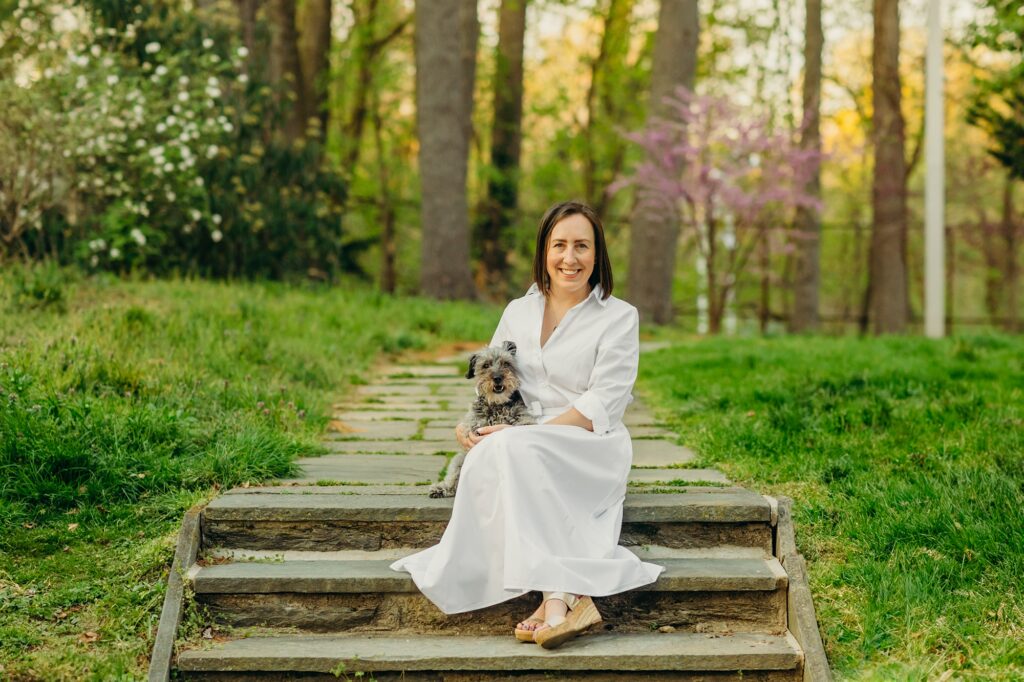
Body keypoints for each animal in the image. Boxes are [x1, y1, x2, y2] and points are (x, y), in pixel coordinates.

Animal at [428, 342, 536, 497]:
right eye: (485, 365)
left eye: (506, 363)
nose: (497, 378)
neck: (497, 405)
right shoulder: (474, 430)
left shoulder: (524, 422)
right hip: (459, 459)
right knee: (454, 478)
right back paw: (441, 488)